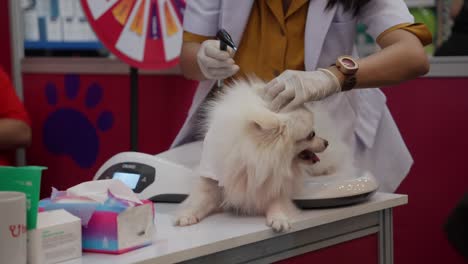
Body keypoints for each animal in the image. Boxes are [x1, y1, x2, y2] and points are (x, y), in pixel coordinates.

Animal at [174, 77, 352, 232]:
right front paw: (187, 215)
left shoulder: (276, 181)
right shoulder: (214, 180)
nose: (326, 142)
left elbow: (276, 202)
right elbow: (200, 200)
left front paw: (278, 219)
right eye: (311, 135)